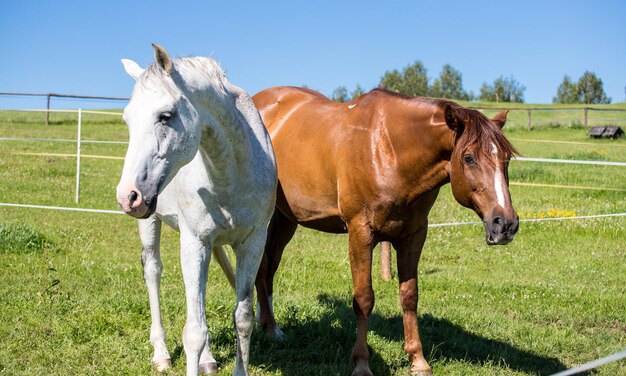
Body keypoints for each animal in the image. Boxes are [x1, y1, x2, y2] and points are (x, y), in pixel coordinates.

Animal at [115, 44, 276, 376]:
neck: (232, 172)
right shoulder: (194, 242)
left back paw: (208, 359)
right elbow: (194, 331)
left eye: (165, 115)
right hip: (151, 223)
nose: (127, 196)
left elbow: (243, 318)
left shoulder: (253, 243)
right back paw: (161, 354)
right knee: (153, 271)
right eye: (127, 120)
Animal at [251, 86, 516, 374]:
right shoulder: (360, 234)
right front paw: (361, 363)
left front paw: (418, 360)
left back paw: (270, 326)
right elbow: (364, 299)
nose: (506, 224)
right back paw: (270, 328)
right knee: (262, 268)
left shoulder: (413, 236)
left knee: (268, 268)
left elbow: (410, 296)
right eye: (468, 158)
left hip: (285, 218)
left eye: (505, 159)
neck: (389, 151)